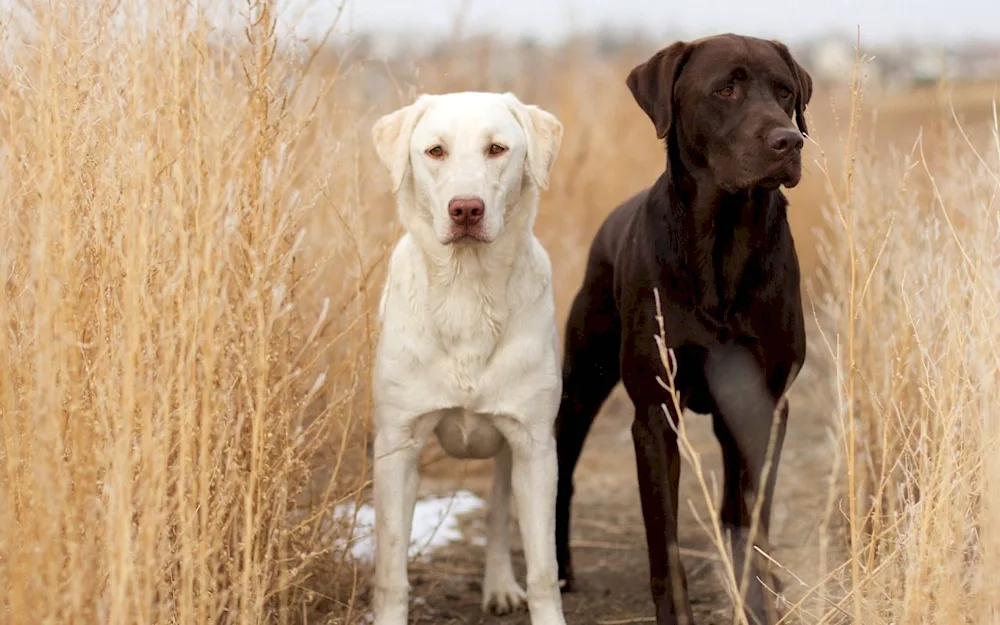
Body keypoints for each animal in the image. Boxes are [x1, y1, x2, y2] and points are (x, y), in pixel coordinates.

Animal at [370, 91, 572, 624]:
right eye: (435, 151)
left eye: (497, 148)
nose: (466, 209)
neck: (466, 291)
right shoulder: (396, 446)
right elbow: (390, 568)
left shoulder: (535, 447)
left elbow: (543, 570)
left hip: (510, 451)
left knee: (499, 514)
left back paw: (499, 585)